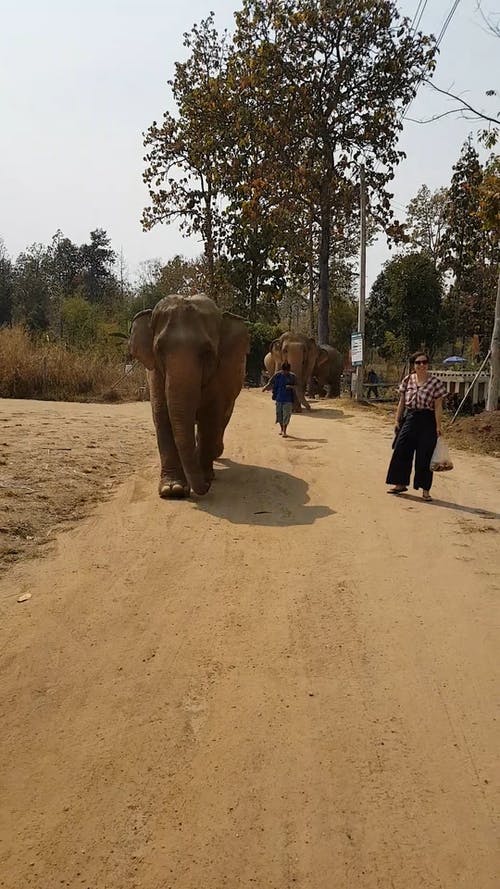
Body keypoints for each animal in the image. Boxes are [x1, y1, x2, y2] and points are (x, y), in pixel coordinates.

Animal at [127, 294, 248, 496]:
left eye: (207, 352)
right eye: (159, 349)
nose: (206, 487)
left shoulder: (221, 375)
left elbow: (210, 416)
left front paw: (205, 478)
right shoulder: (154, 372)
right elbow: (161, 414)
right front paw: (172, 489)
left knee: (221, 420)